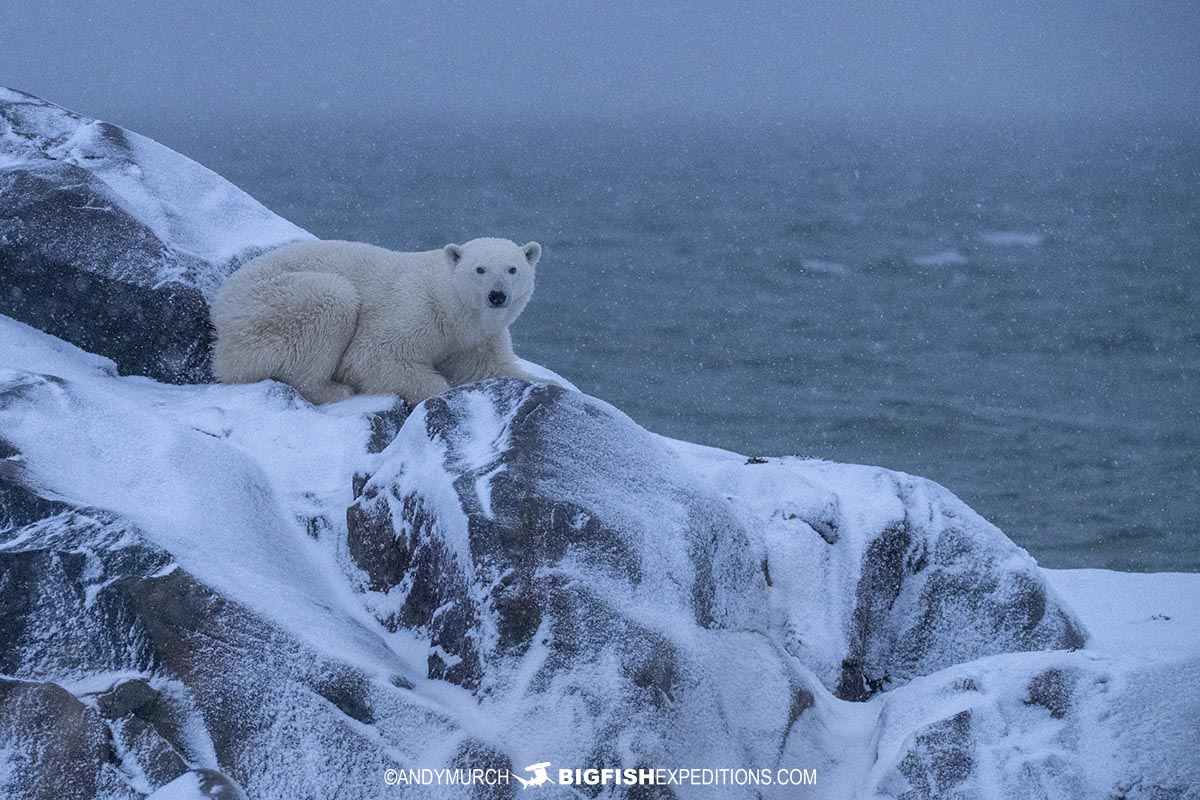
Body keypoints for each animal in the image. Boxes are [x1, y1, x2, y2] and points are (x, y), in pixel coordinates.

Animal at [213, 235, 549, 402]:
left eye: (512, 269)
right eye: (480, 269)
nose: (497, 296)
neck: (451, 305)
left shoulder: (474, 339)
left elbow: (489, 367)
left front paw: (545, 383)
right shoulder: (415, 312)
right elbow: (374, 358)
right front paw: (440, 389)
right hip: (270, 307)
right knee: (331, 300)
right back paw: (334, 390)